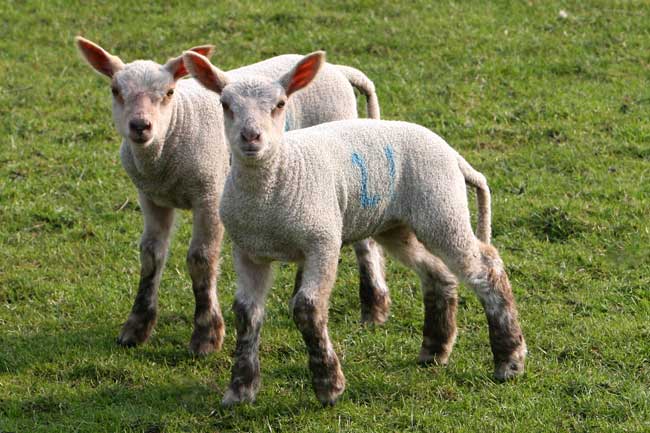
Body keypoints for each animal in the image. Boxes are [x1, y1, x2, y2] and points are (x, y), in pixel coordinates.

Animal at [75, 37, 391, 356]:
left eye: (169, 92)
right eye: (115, 91)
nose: (140, 127)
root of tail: (339, 70)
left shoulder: (209, 193)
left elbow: (201, 258)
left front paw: (206, 335)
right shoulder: (150, 197)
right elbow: (151, 255)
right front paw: (136, 328)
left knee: (363, 237)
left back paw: (373, 306)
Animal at [183, 50, 527, 406]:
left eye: (279, 104)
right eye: (225, 104)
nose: (251, 137)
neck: (276, 178)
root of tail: (454, 156)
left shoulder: (322, 241)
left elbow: (307, 308)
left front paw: (328, 384)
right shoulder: (248, 250)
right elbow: (246, 313)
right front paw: (240, 388)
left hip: (442, 208)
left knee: (486, 267)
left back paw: (509, 359)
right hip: (396, 226)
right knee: (437, 272)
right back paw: (435, 349)